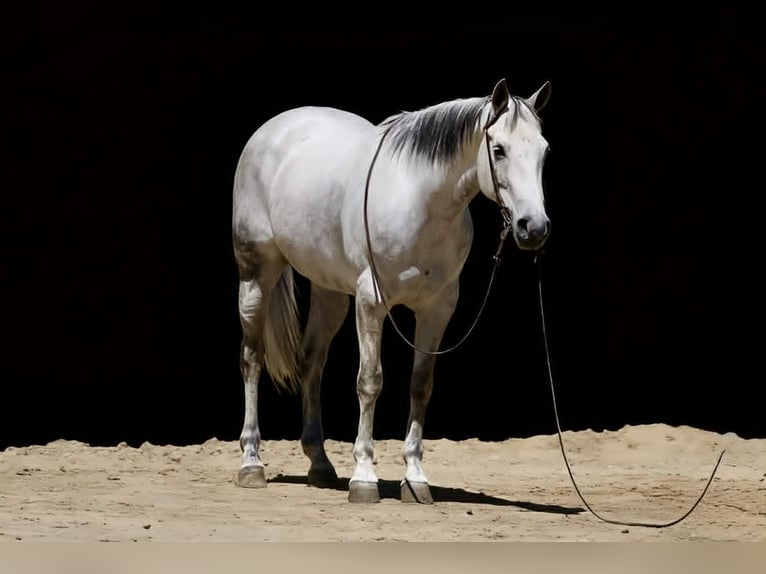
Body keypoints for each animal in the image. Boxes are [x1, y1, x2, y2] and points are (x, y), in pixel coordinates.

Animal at [231, 78, 552, 503]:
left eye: (544, 151)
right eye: (498, 149)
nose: (534, 227)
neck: (421, 201)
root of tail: (273, 129)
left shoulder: (437, 309)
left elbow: (420, 386)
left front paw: (415, 478)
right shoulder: (371, 302)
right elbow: (370, 381)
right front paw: (364, 477)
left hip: (329, 291)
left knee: (312, 361)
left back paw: (320, 464)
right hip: (256, 276)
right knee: (252, 359)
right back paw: (251, 463)